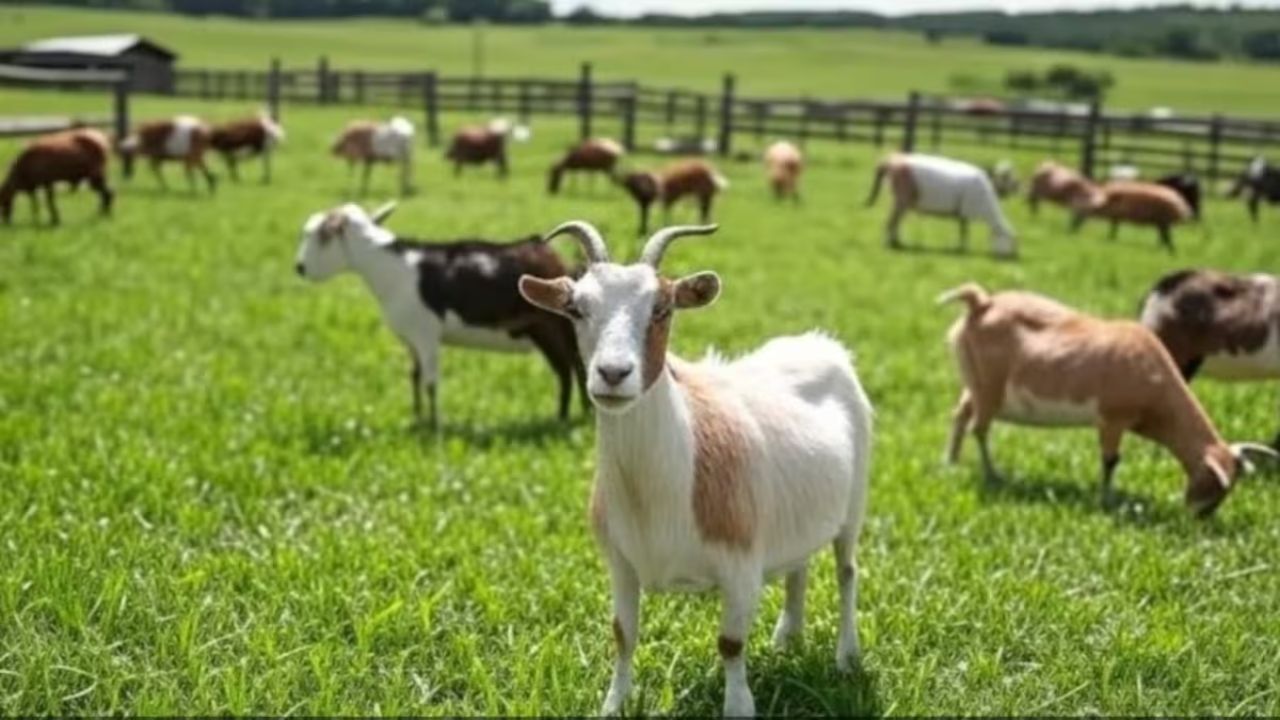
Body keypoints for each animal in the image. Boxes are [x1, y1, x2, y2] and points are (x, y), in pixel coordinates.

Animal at [295, 203, 587, 427]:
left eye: (322, 236)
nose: (300, 268)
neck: (392, 269)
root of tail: (560, 260)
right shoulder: (412, 340)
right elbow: (414, 376)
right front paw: (418, 420)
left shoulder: (426, 333)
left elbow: (431, 383)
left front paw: (435, 425)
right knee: (569, 368)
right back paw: (570, 415)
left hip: (553, 327)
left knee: (571, 368)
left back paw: (570, 417)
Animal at [518, 221, 873, 717]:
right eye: (575, 308)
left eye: (662, 309)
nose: (612, 374)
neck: (654, 494)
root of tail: (821, 344)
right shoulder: (620, 562)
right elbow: (622, 635)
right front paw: (614, 703)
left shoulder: (741, 566)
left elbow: (730, 644)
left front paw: (739, 707)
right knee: (798, 568)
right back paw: (787, 638)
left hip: (854, 506)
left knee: (846, 572)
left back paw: (847, 657)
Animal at [866, 153, 1017, 258]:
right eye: (1008, 239)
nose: (1010, 256)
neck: (987, 208)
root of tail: (891, 161)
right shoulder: (966, 210)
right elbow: (965, 232)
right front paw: (962, 250)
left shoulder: (962, 212)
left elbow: (963, 231)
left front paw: (960, 248)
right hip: (901, 198)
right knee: (891, 222)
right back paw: (892, 245)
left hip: (900, 200)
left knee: (895, 222)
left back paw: (898, 243)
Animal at [941, 282, 1276, 517]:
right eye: (1215, 482)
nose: (1200, 515)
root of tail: (982, 303)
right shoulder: (1112, 418)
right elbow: (1111, 460)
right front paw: (1107, 499)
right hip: (989, 386)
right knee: (978, 427)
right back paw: (993, 475)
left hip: (977, 383)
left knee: (961, 414)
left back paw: (952, 462)